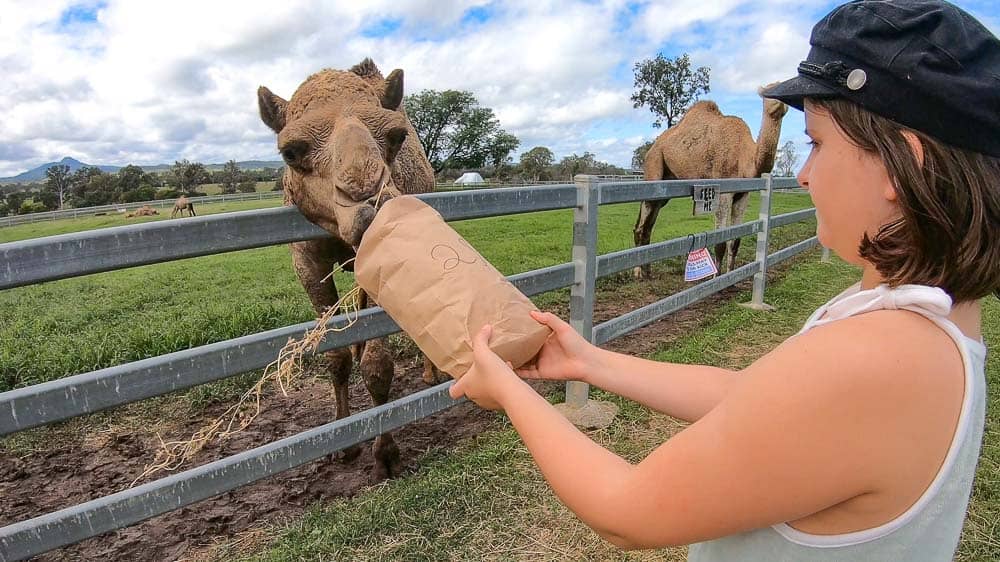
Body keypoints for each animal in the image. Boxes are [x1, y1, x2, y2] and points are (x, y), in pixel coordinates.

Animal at [260, 59, 440, 480]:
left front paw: (385, 454)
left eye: (396, 135)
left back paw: (430, 375)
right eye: (290, 152)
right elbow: (334, 355)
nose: (370, 201)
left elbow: (378, 364)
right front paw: (342, 444)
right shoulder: (306, 261)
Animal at [632, 86, 788, 276]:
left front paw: (732, 276)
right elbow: (720, 242)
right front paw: (716, 277)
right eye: (768, 93)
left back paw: (647, 272)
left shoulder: (743, 195)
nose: (781, 102)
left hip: (665, 186)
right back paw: (638, 272)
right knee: (641, 225)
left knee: (648, 225)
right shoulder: (724, 191)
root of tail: (652, 147)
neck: (744, 156)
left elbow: (735, 242)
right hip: (654, 167)